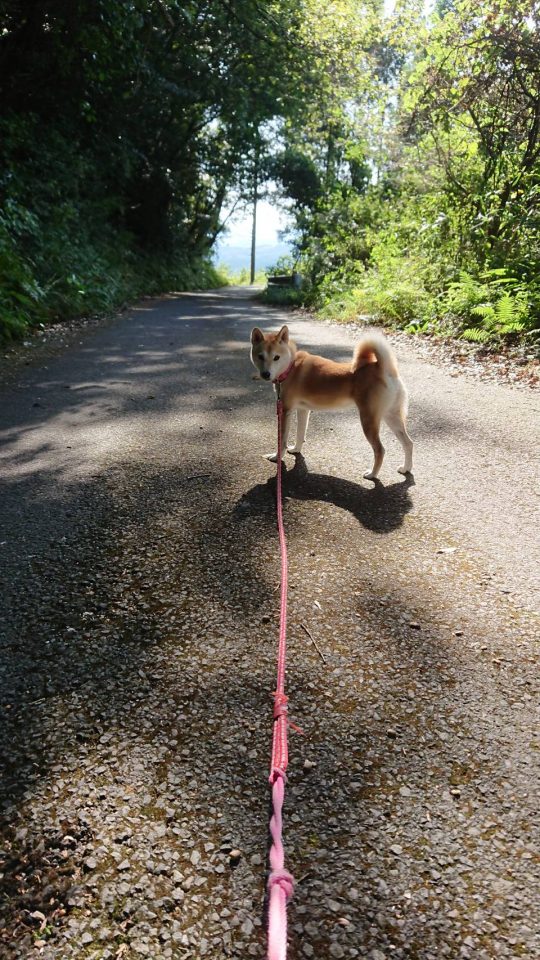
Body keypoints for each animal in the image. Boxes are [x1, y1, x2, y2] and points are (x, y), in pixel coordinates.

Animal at [250, 326, 414, 480]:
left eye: (276, 357)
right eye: (260, 356)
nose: (265, 374)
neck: (291, 367)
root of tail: (383, 369)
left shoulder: (285, 411)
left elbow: (282, 441)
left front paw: (276, 457)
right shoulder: (303, 410)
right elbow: (300, 434)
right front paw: (296, 449)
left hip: (369, 421)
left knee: (380, 450)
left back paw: (372, 474)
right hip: (392, 417)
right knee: (408, 443)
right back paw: (406, 468)